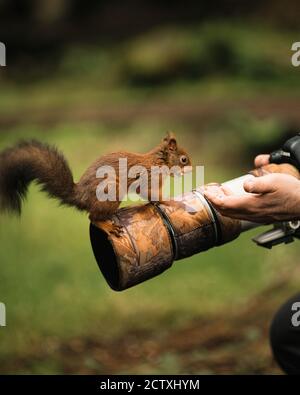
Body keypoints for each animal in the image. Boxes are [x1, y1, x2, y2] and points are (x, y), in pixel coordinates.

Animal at [0, 133, 191, 237]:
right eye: (183, 159)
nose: (190, 169)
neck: (159, 161)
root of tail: (81, 196)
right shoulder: (148, 178)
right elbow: (148, 192)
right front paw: (169, 200)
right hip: (111, 191)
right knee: (92, 217)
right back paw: (107, 226)